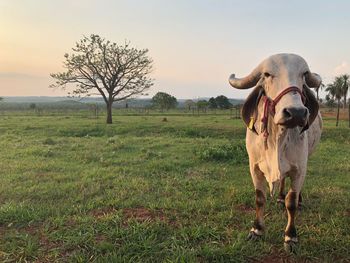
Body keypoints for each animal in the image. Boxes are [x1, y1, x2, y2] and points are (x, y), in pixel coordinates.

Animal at [230, 53, 322, 252]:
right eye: (267, 74)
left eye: (304, 74)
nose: (296, 113)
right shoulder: (254, 167)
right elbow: (260, 198)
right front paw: (257, 230)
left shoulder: (299, 168)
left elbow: (291, 202)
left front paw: (291, 236)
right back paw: (279, 197)